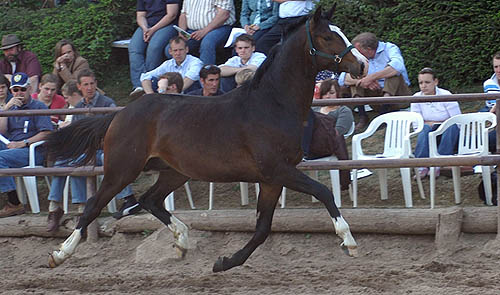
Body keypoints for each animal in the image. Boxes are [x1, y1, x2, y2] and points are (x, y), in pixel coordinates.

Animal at [47, 5, 368, 272]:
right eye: (328, 37)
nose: (362, 65)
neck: (272, 104)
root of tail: (120, 113)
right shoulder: (278, 170)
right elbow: (323, 192)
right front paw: (349, 241)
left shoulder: (272, 179)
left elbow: (263, 228)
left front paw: (225, 262)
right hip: (123, 169)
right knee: (94, 206)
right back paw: (60, 254)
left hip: (174, 172)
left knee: (150, 200)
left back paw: (181, 240)